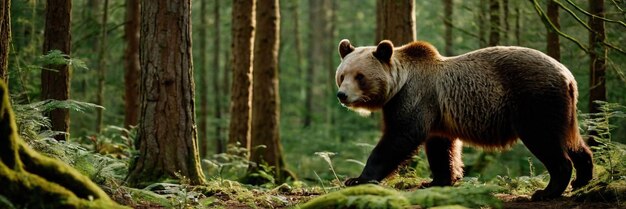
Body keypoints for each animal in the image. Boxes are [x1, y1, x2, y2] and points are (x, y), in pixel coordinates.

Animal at [332, 39, 588, 201]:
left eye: (360, 76)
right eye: (342, 75)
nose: (342, 95)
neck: (398, 85)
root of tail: (568, 76)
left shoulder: (415, 97)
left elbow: (399, 137)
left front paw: (357, 179)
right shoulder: (438, 111)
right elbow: (440, 147)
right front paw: (438, 180)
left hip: (536, 100)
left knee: (544, 139)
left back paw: (547, 190)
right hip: (564, 109)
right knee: (572, 141)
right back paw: (582, 179)